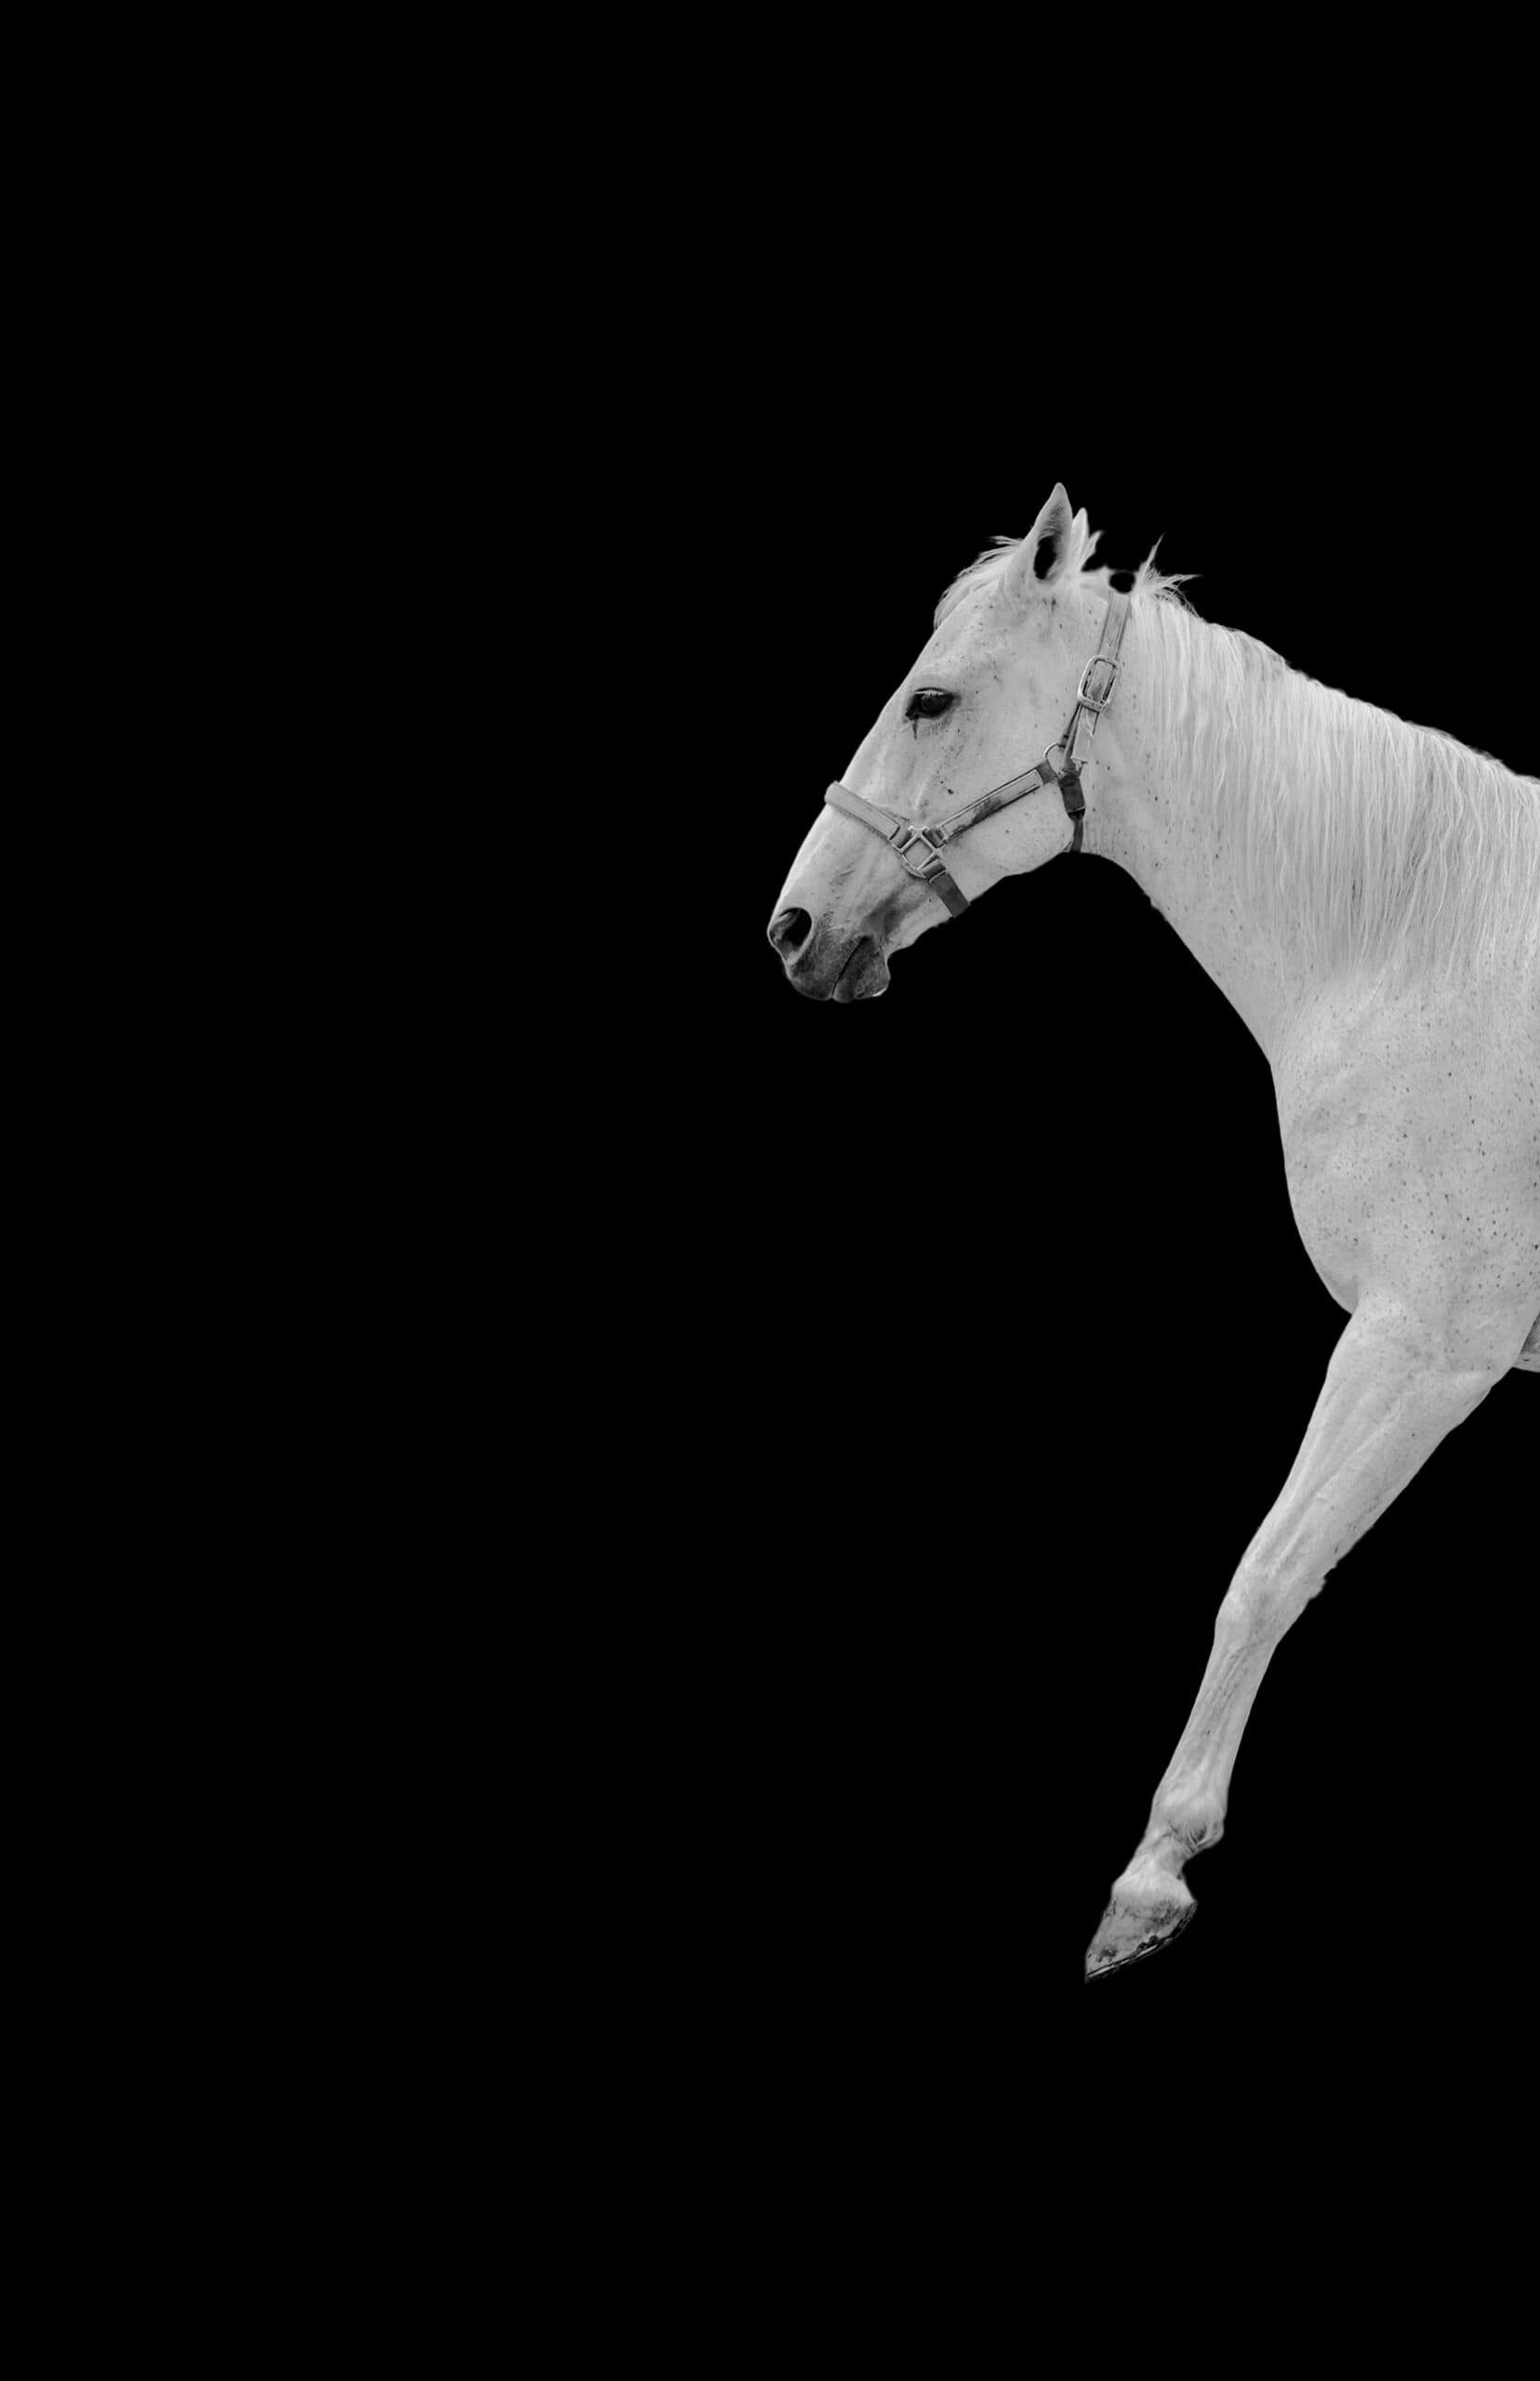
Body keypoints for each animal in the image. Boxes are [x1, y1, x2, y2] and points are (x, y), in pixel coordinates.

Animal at [765, 484, 1540, 1978]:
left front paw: (1151, 1876)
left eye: (931, 698)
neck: (1427, 951)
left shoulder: (1421, 1344)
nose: (792, 927)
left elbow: (1264, 1576)